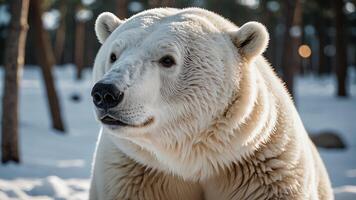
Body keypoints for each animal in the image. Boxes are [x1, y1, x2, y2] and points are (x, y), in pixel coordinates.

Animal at [88, 7, 330, 200]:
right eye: (113, 55)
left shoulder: (265, 169)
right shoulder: (134, 173)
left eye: (167, 59)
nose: (106, 93)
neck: (196, 161)